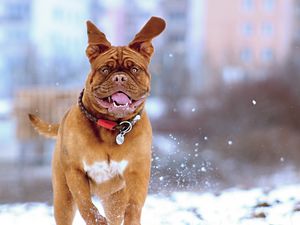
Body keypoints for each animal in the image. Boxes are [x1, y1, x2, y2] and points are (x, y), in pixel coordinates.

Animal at [29, 16, 165, 225]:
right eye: (105, 69)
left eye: (134, 69)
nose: (119, 77)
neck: (112, 127)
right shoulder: (75, 171)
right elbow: (87, 206)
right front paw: (98, 221)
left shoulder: (137, 170)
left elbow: (134, 205)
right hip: (62, 197)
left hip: (114, 198)